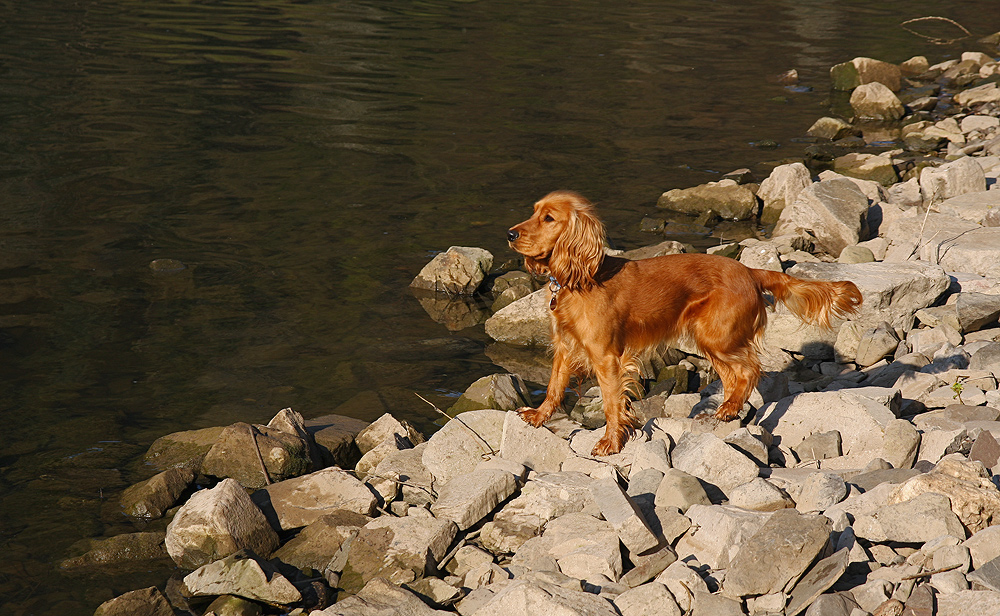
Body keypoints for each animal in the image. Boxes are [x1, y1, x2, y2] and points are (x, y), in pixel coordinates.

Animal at [508, 190, 860, 454]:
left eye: (549, 218)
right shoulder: (565, 346)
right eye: (533, 212)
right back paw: (728, 409)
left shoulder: (606, 355)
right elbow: (554, 386)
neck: (578, 278)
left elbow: (610, 402)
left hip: (716, 336)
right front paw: (538, 416)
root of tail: (749, 270)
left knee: (750, 369)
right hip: (711, 339)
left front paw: (610, 442)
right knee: (734, 376)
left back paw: (731, 407)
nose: (510, 233)